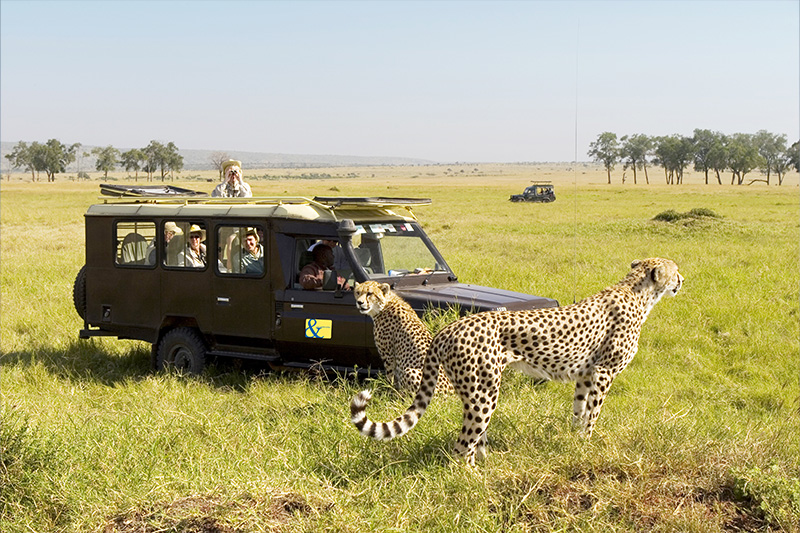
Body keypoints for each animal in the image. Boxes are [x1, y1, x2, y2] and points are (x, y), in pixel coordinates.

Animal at [351, 258, 683, 465]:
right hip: (483, 392)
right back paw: (472, 480)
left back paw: (487, 466)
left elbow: (579, 411)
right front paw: (588, 443)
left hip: (473, 391)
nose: (682, 278)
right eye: (675, 269)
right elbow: (593, 413)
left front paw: (575, 442)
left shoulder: (585, 375)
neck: (638, 293)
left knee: (474, 439)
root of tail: (449, 328)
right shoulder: (603, 372)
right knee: (461, 447)